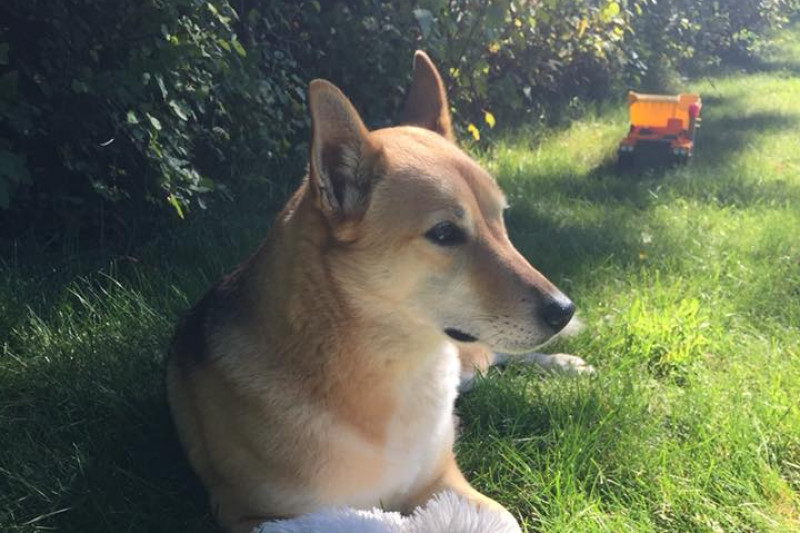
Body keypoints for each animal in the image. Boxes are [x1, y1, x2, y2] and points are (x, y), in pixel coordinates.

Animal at [167, 51, 584, 533]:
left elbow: (503, 519)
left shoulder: (445, 478)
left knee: (492, 357)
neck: (394, 369)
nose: (563, 310)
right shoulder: (257, 515)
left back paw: (565, 363)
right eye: (445, 233)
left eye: (501, 219)